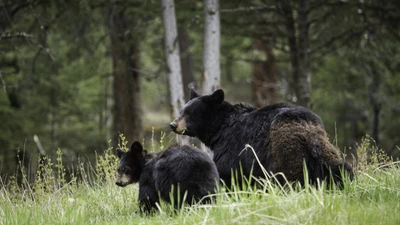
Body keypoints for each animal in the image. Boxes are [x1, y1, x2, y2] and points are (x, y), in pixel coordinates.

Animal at [169, 89, 354, 189]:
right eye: (182, 110)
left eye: (190, 113)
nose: (173, 124)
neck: (219, 129)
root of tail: (309, 133)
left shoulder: (232, 147)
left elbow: (227, 173)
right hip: (326, 153)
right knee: (341, 170)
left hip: (285, 153)